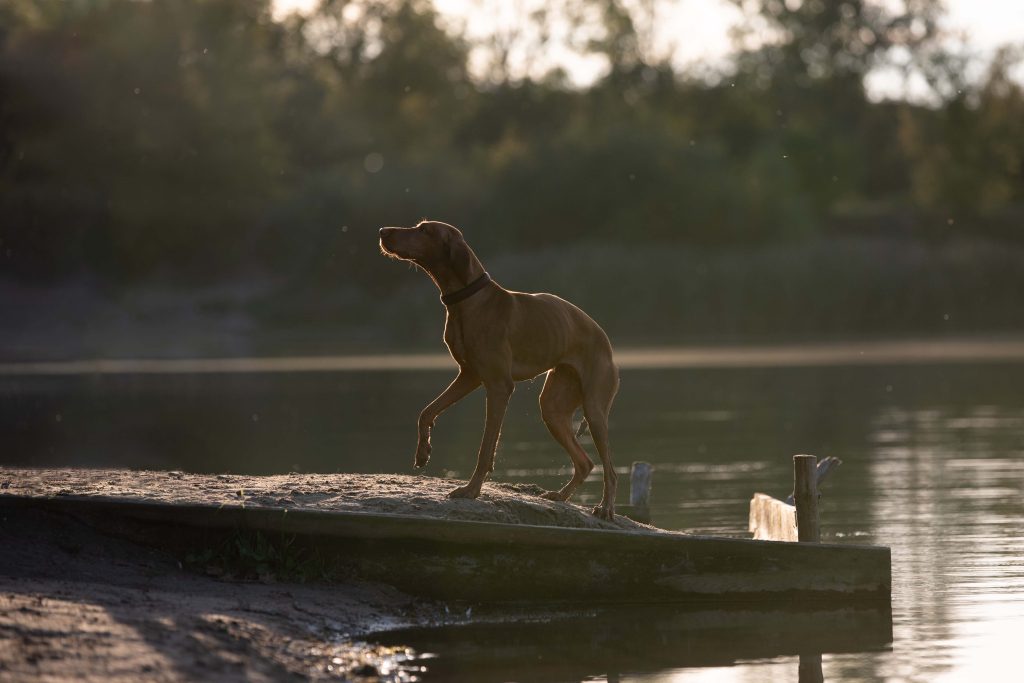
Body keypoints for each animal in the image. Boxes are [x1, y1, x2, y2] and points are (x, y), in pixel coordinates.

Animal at [376, 219, 614, 518]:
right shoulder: (468, 376)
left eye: (424, 230)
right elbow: (426, 412)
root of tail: (605, 337)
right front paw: (423, 451)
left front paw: (471, 490)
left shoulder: (499, 386)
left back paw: (605, 508)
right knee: (585, 462)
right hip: (553, 408)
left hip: (594, 410)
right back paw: (561, 496)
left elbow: (486, 447)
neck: (468, 301)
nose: (382, 231)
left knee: (609, 469)